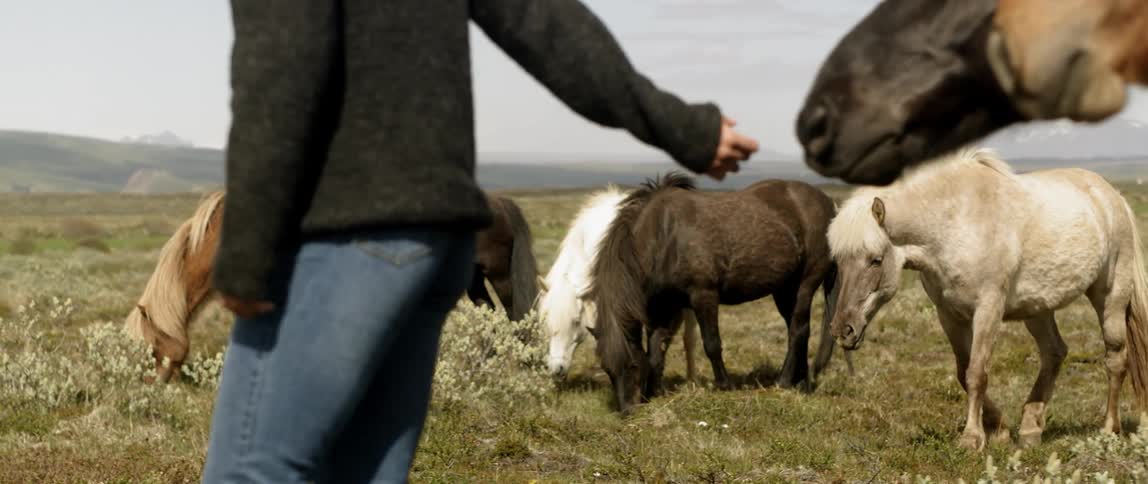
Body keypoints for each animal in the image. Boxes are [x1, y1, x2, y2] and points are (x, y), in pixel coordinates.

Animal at [125, 191, 540, 382]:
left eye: (152, 348)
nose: (153, 385)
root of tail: (500, 201)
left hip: (499, 275)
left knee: (516, 315)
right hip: (473, 279)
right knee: (489, 317)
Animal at [588, 172, 842, 414]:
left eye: (632, 365)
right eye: (607, 370)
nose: (627, 411)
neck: (664, 235)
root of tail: (829, 204)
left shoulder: (704, 295)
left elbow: (711, 344)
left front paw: (724, 385)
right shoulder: (663, 307)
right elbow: (656, 351)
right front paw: (654, 392)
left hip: (805, 284)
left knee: (799, 329)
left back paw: (784, 381)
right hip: (784, 289)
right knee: (797, 329)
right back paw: (803, 383)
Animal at [826, 147, 1148, 451]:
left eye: (876, 260)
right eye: (839, 261)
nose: (843, 329)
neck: (954, 224)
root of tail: (1112, 196)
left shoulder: (988, 309)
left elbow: (977, 373)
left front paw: (972, 438)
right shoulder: (948, 315)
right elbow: (962, 371)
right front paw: (1000, 429)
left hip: (1110, 296)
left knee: (1115, 357)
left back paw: (1109, 429)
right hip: (1038, 309)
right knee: (1054, 352)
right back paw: (1030, 428)